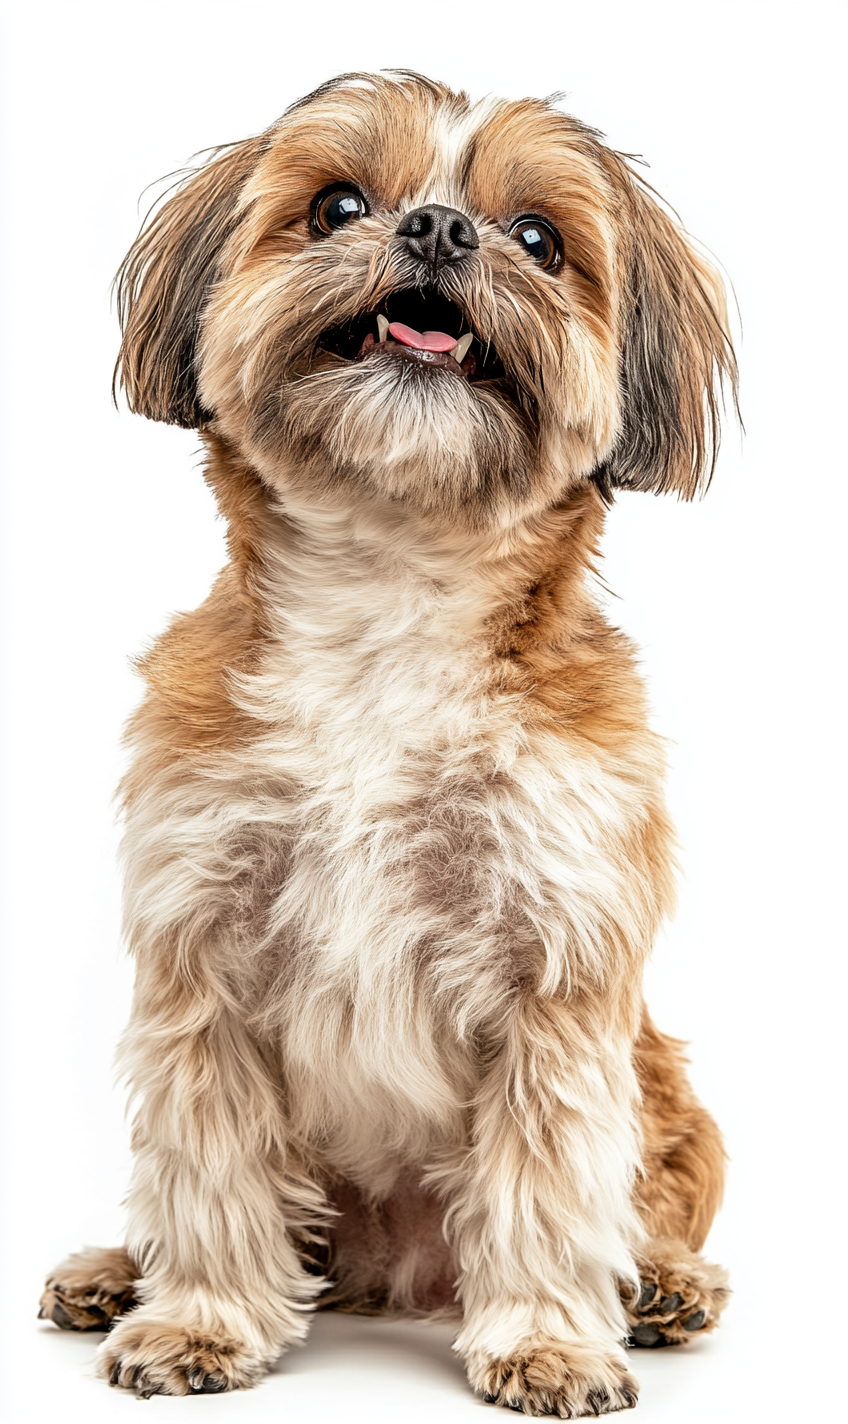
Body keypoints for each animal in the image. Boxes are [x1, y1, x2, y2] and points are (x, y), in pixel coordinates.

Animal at [39, 69, 739, 1412]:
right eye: (338, 206)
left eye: (537, 238)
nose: (436, 228)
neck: (392, 591)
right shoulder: (203, 949)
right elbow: (207, 1165)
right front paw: (198, 1314)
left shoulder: (553, 968)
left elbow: (546, 1176)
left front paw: (546, 1337)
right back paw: (116, 1270)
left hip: (669, 1093)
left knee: (650, 1207)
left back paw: (661, 1289)